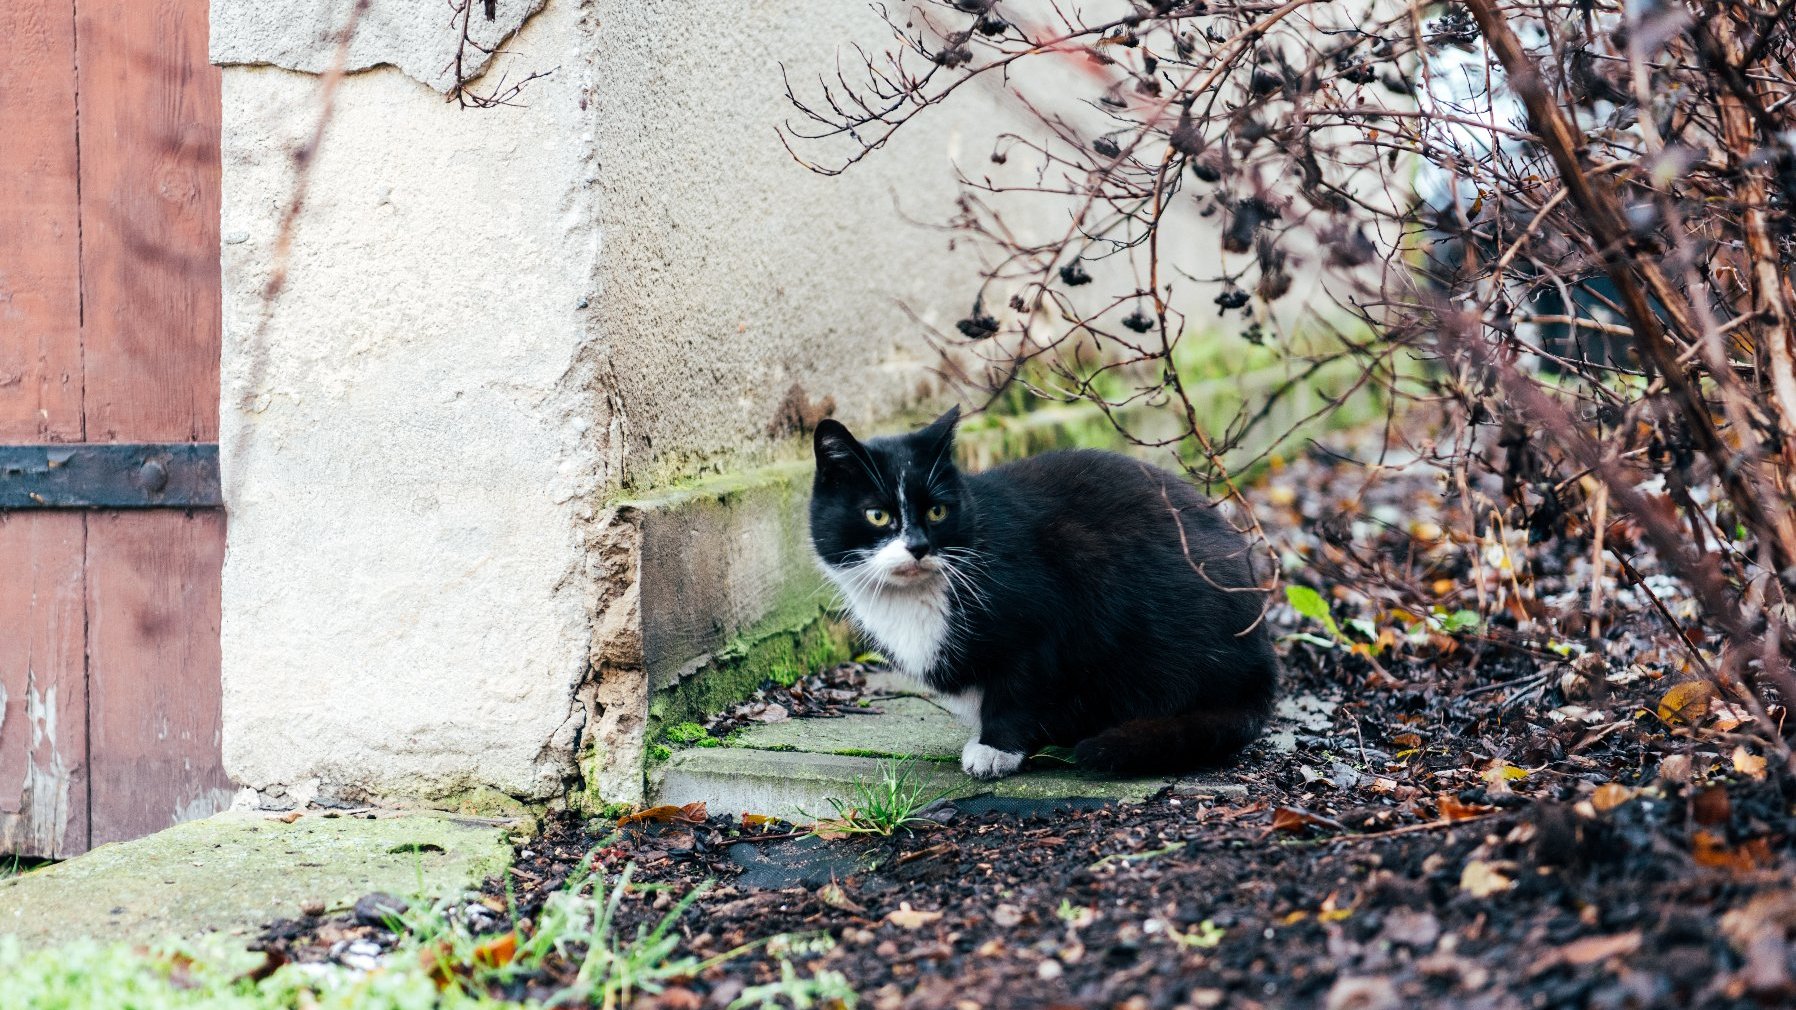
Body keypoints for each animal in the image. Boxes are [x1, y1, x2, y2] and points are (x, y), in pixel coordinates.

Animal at [815, 402, 1278, 779]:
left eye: (937, 511)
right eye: (877, 515)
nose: (917, 547)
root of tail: (1262, 674)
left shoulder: (1041, 619)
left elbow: (1020, 687)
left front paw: (996, 749)